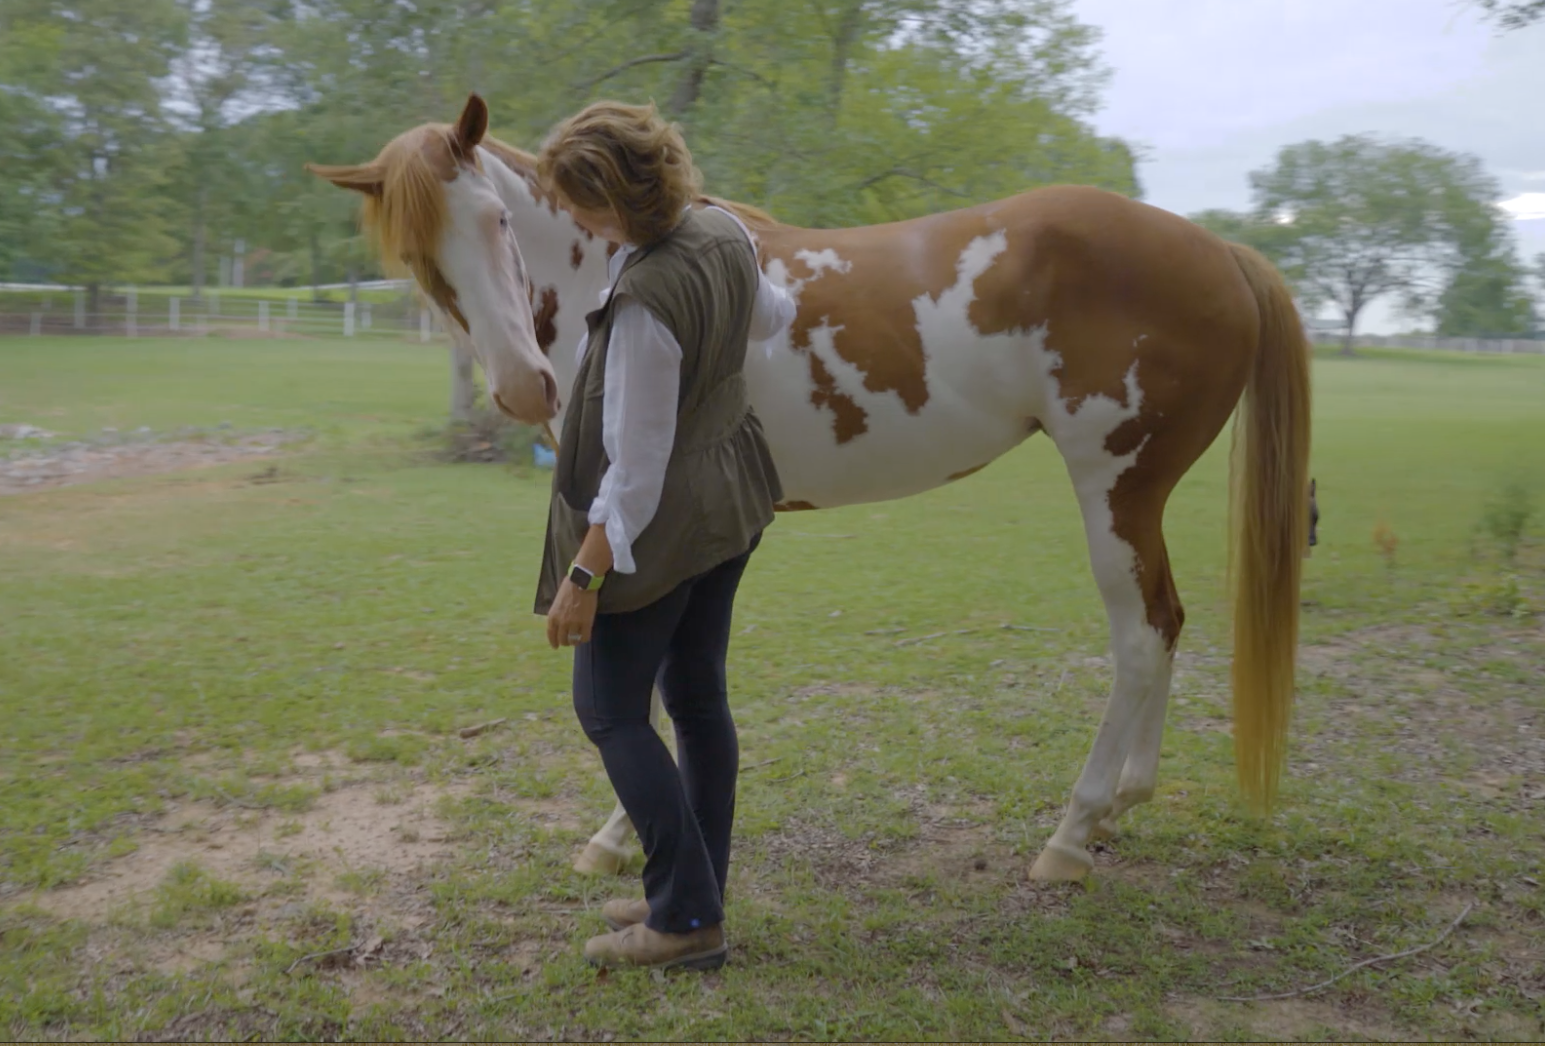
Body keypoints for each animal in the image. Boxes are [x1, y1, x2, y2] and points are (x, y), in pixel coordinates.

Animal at [307, 94, 1311, 884]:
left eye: (498, 222)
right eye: (420, 260)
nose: (523, 386)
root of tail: (1218, 250)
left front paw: (620, 834)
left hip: (1115, 487)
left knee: (1138, 639)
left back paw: (1070, 831)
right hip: (1137, 498)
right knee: (1166, 624)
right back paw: (1123, 803)